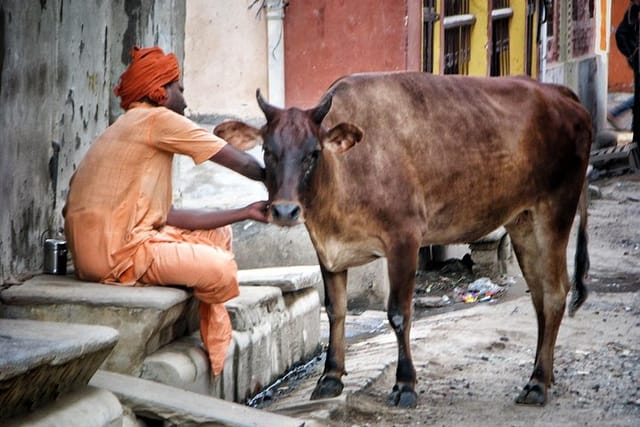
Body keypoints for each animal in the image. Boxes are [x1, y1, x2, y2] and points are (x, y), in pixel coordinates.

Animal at [215, 72, 592, 408]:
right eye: (268, 151)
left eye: (313, 153)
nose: (285, 210)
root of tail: (559, 93)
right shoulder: (327, 249)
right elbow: (335, 310)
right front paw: (330, 378)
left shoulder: (404, 239)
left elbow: (398, 313)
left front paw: (405, 385)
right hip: (522, 221)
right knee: (540, 295)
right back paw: (544, 375)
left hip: (554, 210)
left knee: (555, 292)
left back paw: (538, 383)